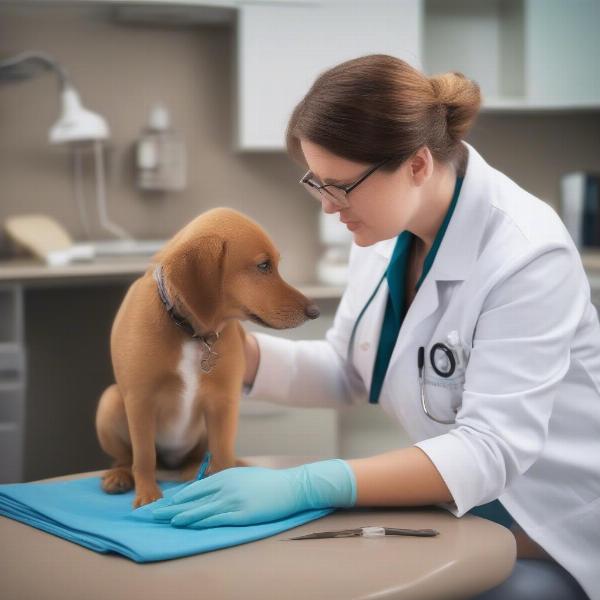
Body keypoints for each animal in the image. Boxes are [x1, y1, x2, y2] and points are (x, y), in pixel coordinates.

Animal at [95, 206, 318, 506]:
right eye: (263, 266)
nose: (315, 311)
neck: (191, 333)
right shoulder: (139, 400)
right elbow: (143, 456)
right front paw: (148, 494)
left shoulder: (223, 402)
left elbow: (223, 455)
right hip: (110, 402)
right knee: (126, 458)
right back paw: (119, 476)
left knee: (205, 457)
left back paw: (199, 471)